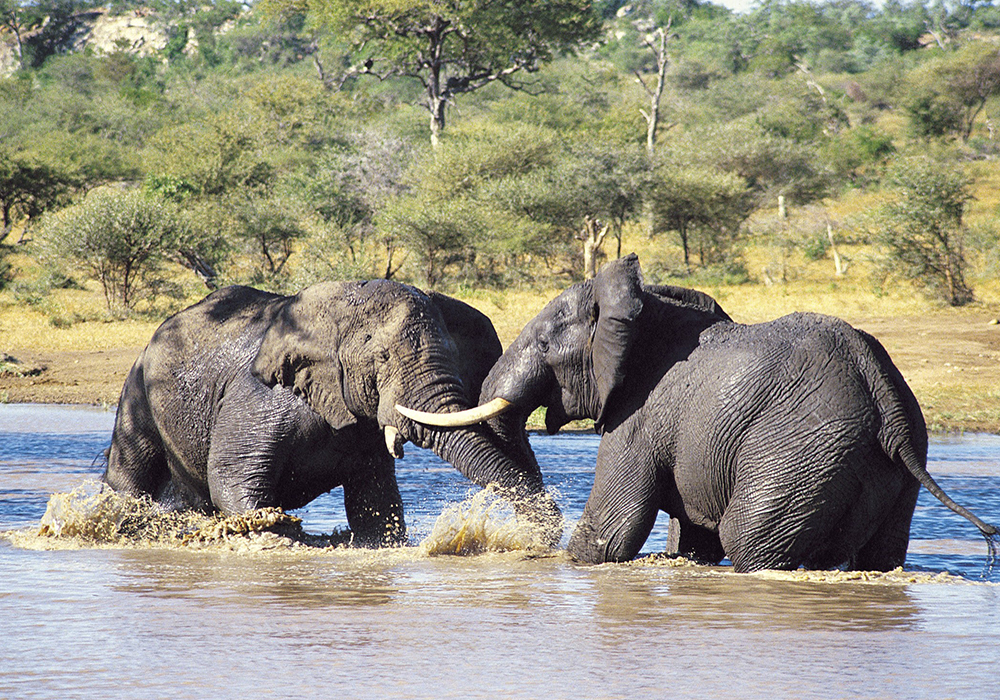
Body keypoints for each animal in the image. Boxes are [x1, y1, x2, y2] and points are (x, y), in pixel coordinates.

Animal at [102, 278, 564, 548]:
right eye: (381, 359)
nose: (533, 541)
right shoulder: (259, 395)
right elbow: (234, 478)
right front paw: (282, 533)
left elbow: (376, 503)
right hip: (137, 394)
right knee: (129, 477)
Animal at [450, 254, 996, 572]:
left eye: (545, 344)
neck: (642, 308)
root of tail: (883, 393)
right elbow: (691, 538)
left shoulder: (639, 414)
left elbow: (611, 534)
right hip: (893, 463)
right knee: (882, 554)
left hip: (799, 452)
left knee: (749, 540)